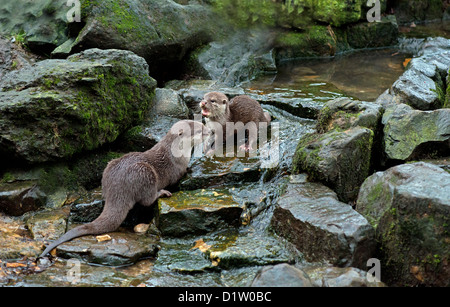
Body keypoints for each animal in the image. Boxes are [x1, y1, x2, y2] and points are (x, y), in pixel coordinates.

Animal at [39, 121, 209, 260]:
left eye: (203, 124)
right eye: (200, 130)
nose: (210, 131)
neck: (176, 152)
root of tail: (118, 188)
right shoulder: (176, 167)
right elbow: (180, 174)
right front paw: (189, 169)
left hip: (109, 167)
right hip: (145, 173)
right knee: (147, 199)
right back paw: (161, 192)